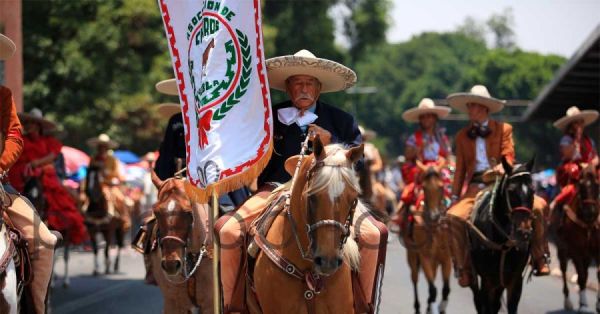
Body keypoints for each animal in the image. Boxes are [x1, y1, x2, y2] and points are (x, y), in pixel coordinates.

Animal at [400, 166, 452, 312]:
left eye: (441, 186)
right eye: (423, 187)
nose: (434, 216)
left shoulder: (446, 258)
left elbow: (446, 289)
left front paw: (440, 307)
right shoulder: (425, 257)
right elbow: (433, 290)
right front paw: (433, 307)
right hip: (412, 255)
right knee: (415, 278)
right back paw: (418, 307)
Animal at [466, 158, 536, 312]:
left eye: (533, 190)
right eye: (511, 191)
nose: (524, 233)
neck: (503, 242)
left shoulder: (515, 282)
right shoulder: (488, 281)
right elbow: (486, 306)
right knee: (478, 299)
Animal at [556, 169, 596, 312]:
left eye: (597, 185)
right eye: (581, 186)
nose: (590, 212)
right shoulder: (576, 250)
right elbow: (582, 277)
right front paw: (583, 305)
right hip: (563, 250)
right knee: (564, 270)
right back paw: (568, 301)